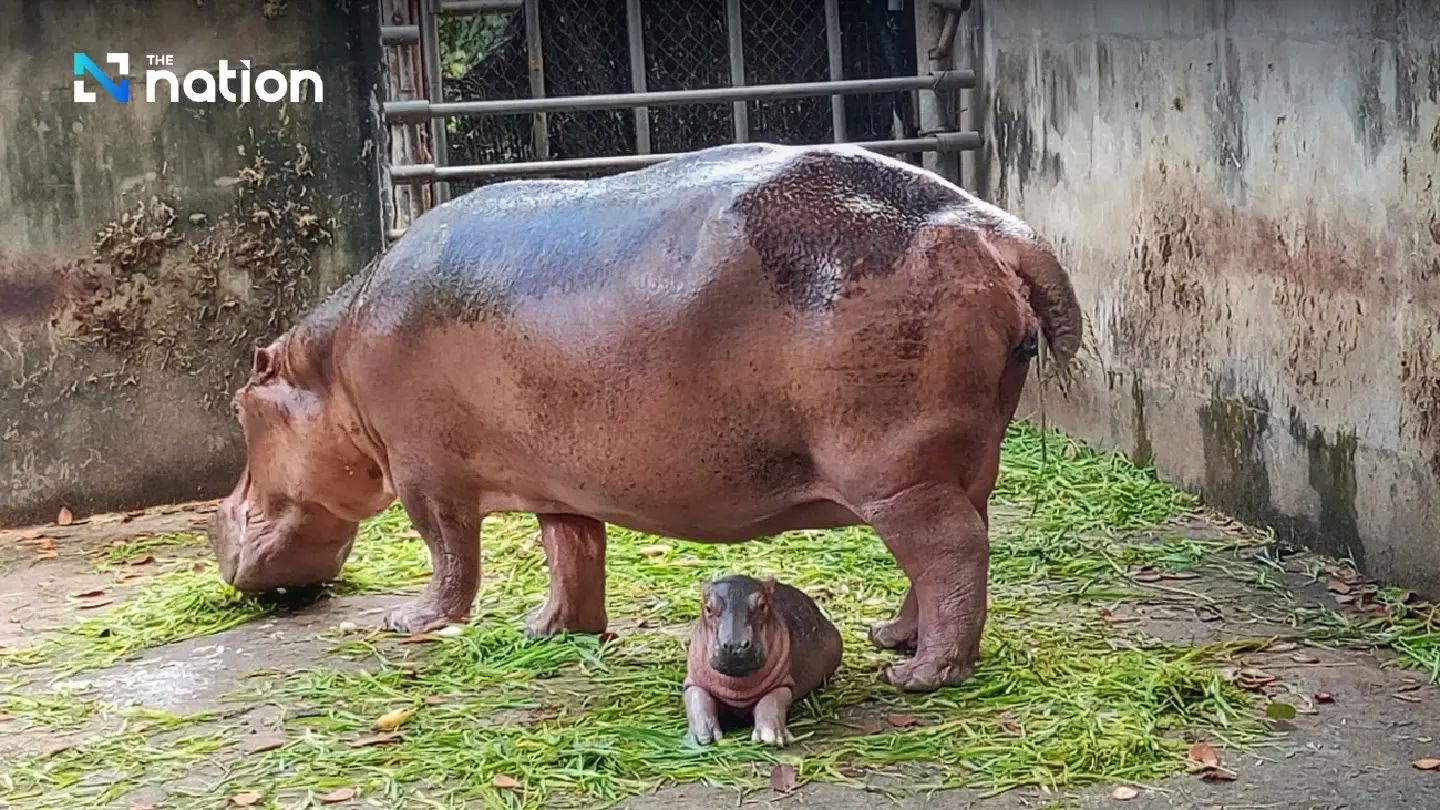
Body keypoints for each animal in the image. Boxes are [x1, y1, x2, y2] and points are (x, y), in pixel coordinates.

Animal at [208, 141, 1083, 692]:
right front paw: (550, 631)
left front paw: (411, 622)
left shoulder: (425, 475)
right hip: (959, 460)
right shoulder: (557, 479)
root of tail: (995, 227)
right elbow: (572, 552)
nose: (218, 522)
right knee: (948, 550)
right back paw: (892, 639)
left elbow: (450, 557)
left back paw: (920, 676)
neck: (330, 370)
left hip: (894, 471)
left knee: (950, 551)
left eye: (240, 407)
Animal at [683, 574, 843, 747]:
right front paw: (701, 738)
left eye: (762, 605)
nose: (735, 645)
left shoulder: (782, 683)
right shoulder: (694, 680)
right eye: (708, 608)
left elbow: (772, 700)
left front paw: (769, 737)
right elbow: (698, 699)